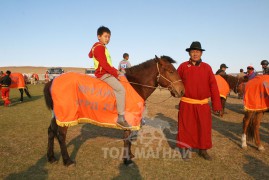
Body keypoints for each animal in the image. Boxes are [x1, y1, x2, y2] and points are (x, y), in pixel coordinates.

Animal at [43, 55, 184, 167]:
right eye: (171, 71)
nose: (182, 91)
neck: (135, 85)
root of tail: (53, 81)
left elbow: (129, 138)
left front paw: (130, 155)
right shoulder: (128, 119)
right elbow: (127, 138)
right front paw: (127, 160)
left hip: (57, 115)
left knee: (51, 131)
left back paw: (51, 157)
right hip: (66, 115)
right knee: (61, 135)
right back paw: (67, 161)